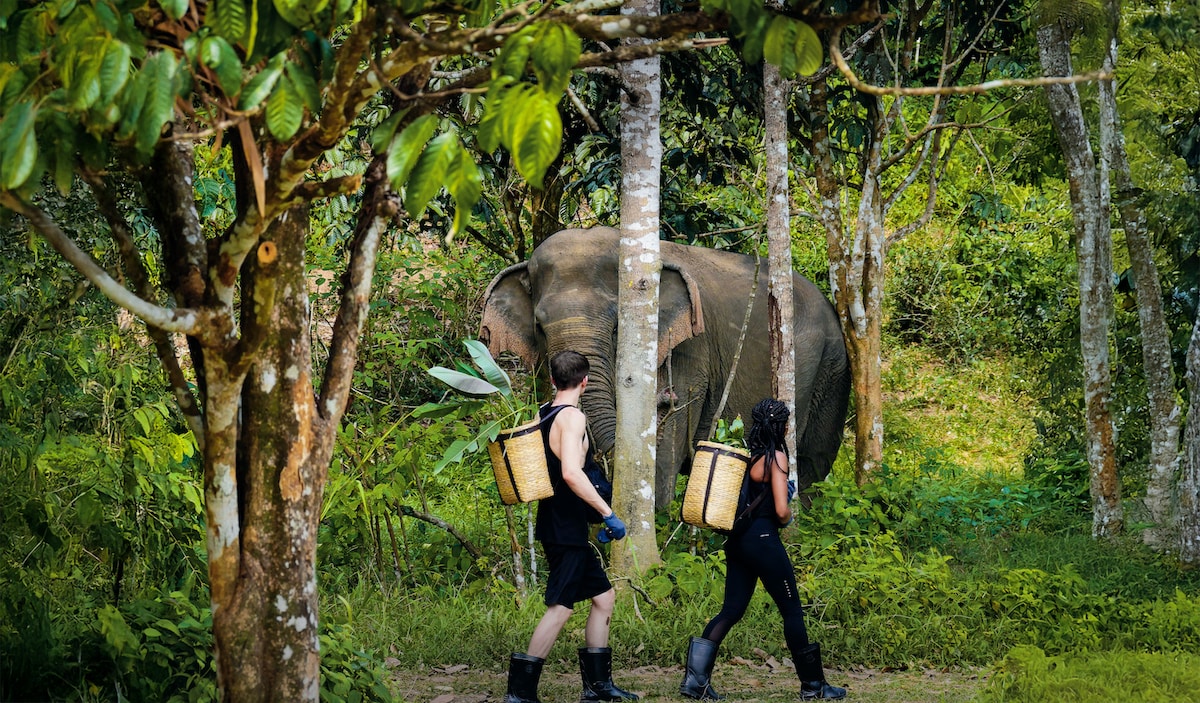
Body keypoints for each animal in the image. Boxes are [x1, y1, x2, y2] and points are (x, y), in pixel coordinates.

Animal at [479, 226, 850, 507]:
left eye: (618, 326)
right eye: (539, 327)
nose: (666, 398)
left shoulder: (687, 353)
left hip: (830, 366)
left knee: (811, 463)